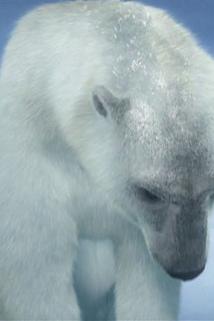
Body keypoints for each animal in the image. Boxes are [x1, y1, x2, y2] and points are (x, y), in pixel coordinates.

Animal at [0, 0, 214, 318]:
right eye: (149, 192)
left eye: (212, 190)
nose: (187, 269)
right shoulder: (31, 165)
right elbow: (39, 274)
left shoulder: (137, 226)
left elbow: (146, 285)